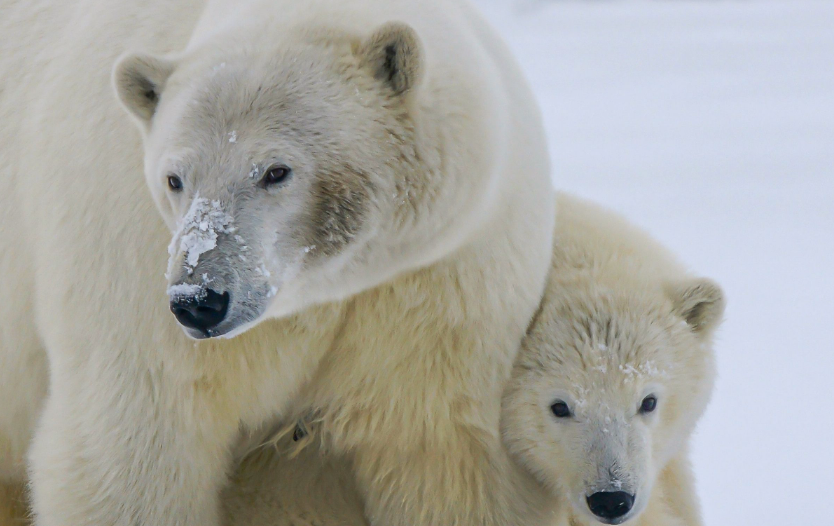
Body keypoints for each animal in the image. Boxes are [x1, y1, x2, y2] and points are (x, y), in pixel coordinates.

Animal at [0, 0, 554, 525]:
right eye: (174, 178)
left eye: (275, 171)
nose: (199, 300)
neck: (324, 285)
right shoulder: (132, 257)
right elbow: (140, 443)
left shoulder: (441, 270)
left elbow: (443, 450)